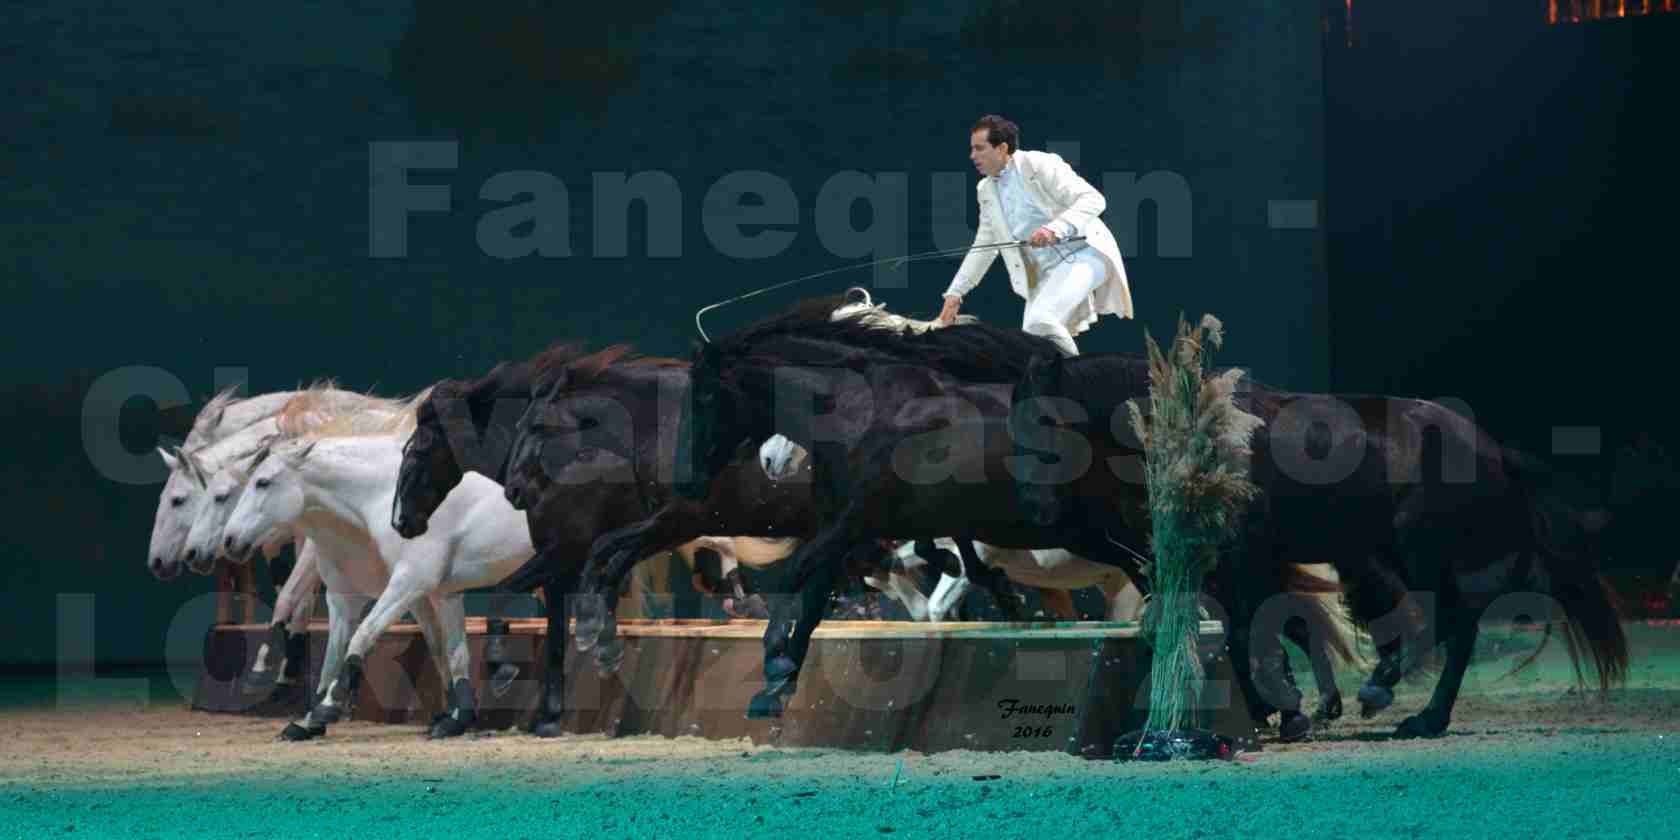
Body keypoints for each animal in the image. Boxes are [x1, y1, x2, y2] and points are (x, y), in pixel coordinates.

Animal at [218, 406, 530, 742]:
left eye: (262, 482)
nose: (229, 540)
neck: (387, 493)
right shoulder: (434, 593)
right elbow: (450, 652)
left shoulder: (410, 582)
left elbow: (362, 637)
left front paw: (326, 709)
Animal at [1007, 347, 1626, 735]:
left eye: (1053, 423)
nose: (1035, 509)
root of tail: (1489, 446)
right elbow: (1265, 629)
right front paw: (1291, 708)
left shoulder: (1242, 562)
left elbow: (1250, 632)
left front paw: (1288, 710)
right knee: (1449, 623)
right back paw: (1413, 709)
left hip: (1419, 554)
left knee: (1453, 621)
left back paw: (1395, 699)